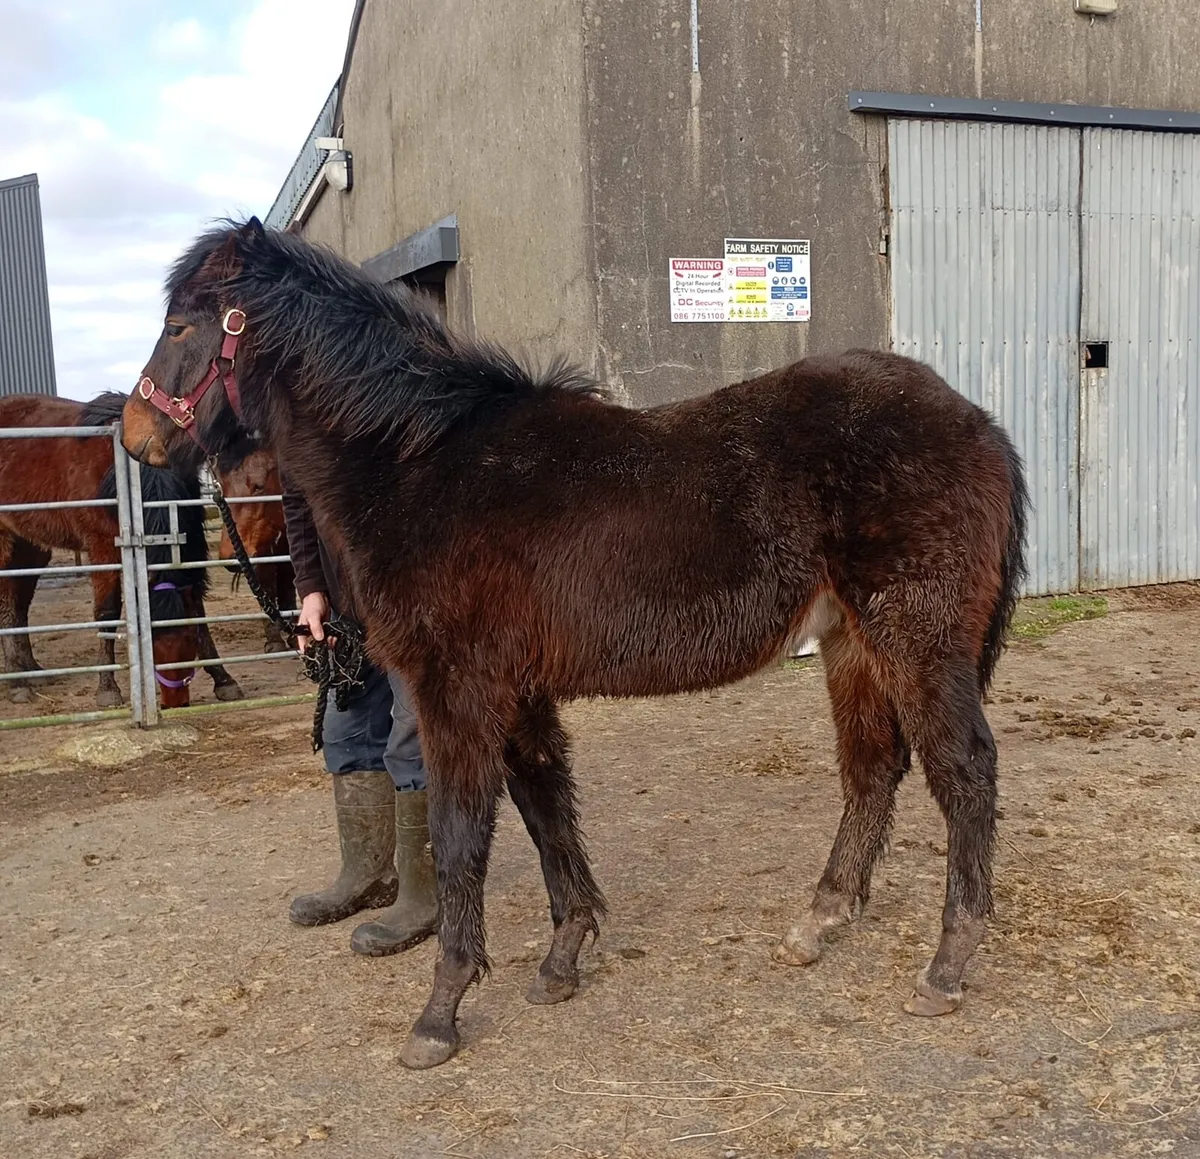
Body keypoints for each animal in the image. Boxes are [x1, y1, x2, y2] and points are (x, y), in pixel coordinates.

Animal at [0, 392, 244, 708]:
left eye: (189, 642)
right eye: (152, 649)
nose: (175, 702)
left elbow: (197, 609)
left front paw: (223, 679)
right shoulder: (103, 547)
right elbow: (107, 612)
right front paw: (107, 688)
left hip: (29, 548)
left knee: (19, 604)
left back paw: (32, 670)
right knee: (7, 605)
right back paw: (17, 681)